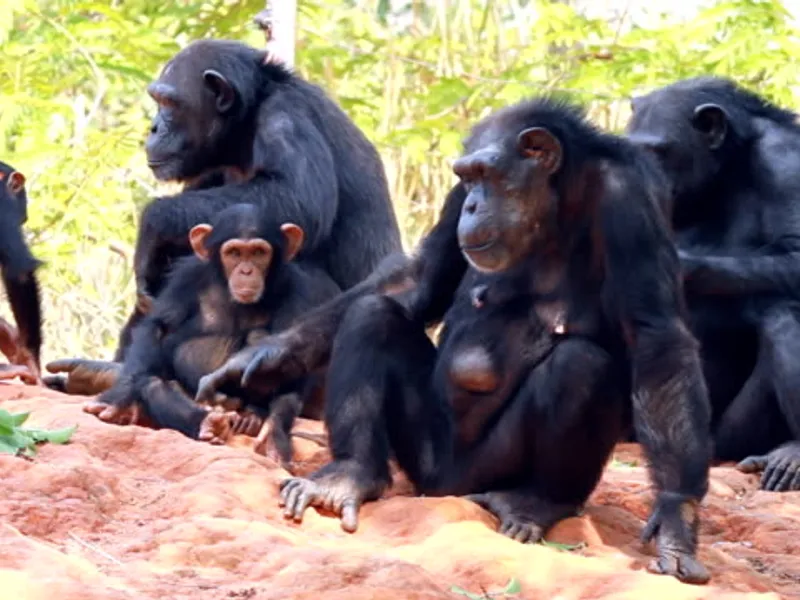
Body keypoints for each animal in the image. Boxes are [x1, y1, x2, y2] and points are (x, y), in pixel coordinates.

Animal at [45, 39, 400, 390]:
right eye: (157, 100)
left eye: (169, 102)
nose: (154, 127)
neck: (245, 126)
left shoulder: (286, 117)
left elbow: (298, 197)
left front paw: (152, 224)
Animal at [83, 202, 340, 464]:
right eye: (234, 253)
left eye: (259, 252)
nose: (246, 271)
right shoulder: (186, 276)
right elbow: (159, 327)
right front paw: (119, 398)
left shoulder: (300, 288)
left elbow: (295, 346)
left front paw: (274, 430)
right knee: (154, 384)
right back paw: (207, 421)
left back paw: (251, 416)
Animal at [194, 97, 712, 580]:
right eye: (466, 177)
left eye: (487, 174)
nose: (472, 204)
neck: (557, 200)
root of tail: (444, 488)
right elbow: (419, 282)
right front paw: (261, 360)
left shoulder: (631, 200)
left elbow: (656, 336)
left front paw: (675, 518)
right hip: (421, 453)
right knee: (372, 315)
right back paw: (349, 476)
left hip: (488, 468)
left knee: (582, 364)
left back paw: (534, 504)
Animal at [628, 77, 800, 492]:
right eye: (639, 152)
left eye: (660, 151)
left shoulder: (786, 159)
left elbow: (795, 250)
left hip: (732, 437)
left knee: (782, 308)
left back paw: (793, 454)